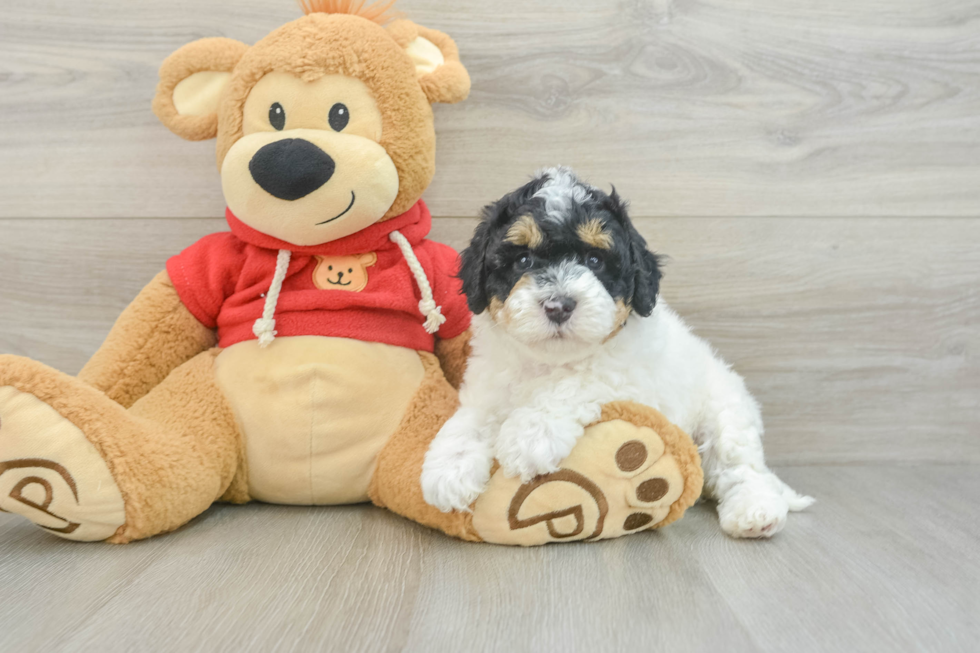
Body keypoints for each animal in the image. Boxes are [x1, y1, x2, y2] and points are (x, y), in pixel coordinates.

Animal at [424, 169, 816, 540]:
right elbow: (473, 418)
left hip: (725, 414)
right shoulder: (490, 383)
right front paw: (448, 468)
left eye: (595, 260)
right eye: (522, 260)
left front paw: (529, 435)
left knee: (741, 467)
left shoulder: (626, 377)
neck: (551, 361)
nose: (558, 306)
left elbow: (575, 384)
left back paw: (756, 512)